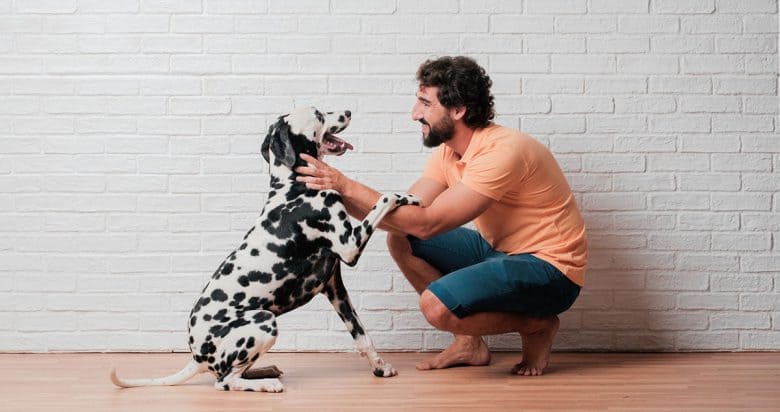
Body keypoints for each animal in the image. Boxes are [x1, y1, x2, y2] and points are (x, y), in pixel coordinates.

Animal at [109, 107, 420, 392]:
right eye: (319, 113)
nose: (348, 111)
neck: (294, 186)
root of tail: (196, 356)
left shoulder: (334, 287)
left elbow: (362, 336)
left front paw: (380, 367)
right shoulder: (350, 245)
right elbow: (384, 197)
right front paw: (409, 197)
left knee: (234, 373)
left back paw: (266, 370)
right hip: (264, 322)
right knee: (225, 382)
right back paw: (267, 383)